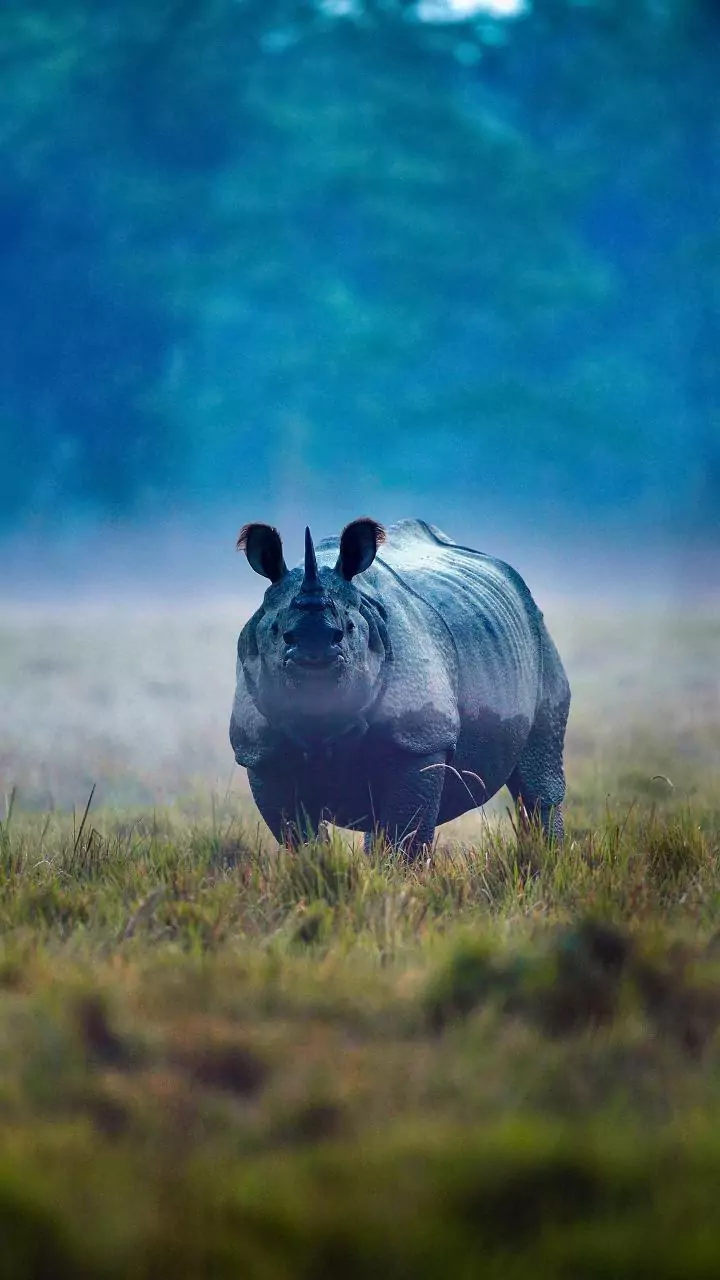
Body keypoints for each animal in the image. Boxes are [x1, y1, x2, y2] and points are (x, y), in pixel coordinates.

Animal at [230, 517, 570, 856]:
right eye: (278, 632)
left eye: (347, 630)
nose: (313, 653)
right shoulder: (260, 752)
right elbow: (297, 834)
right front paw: (316, 864)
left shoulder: (421, 739)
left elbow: (407, 832)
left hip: (538, 635)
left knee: (538, 778)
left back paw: (548, 855)